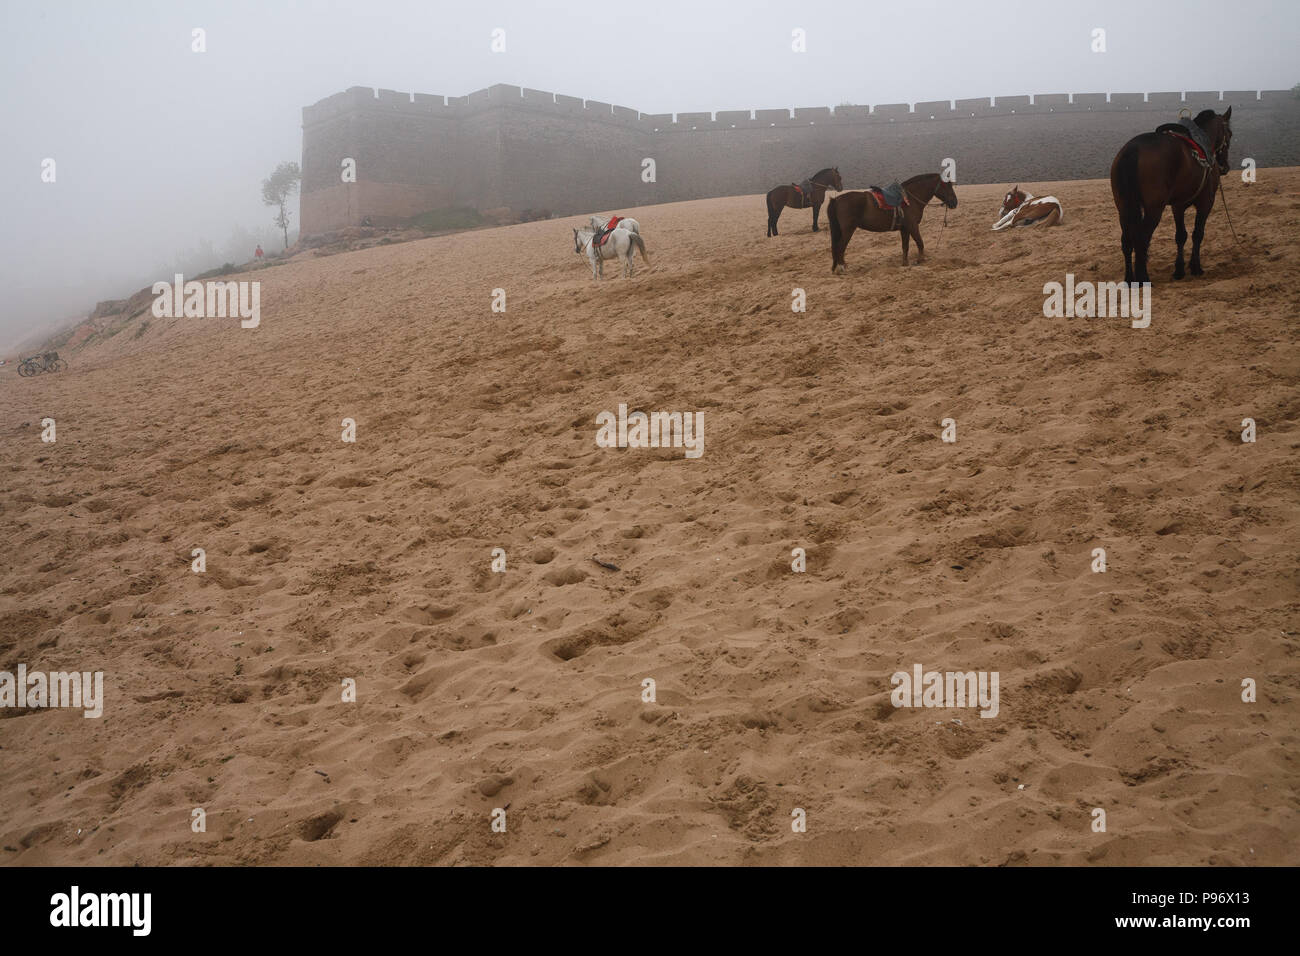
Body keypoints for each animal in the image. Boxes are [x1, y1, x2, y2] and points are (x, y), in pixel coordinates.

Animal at [826, 171, 961, 273]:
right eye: (947, 186)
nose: (954, 202)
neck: (910, 199)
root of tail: (837, 200)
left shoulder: (905, 229)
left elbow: (905, 246)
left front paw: (905, 263)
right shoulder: (913, 226)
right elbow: (920, 242)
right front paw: (920, 260)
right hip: (848, 230)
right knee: (840, 247)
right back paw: (842, 268)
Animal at [1112, 107, 1232, 283]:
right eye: (1230, 134)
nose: (1225, 166)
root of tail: (1133, 149)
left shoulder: (1178, 206)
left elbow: (1181, 236)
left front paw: (1179, 269)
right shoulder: (1206, 203)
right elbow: (1198, 234)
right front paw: (1195, 266)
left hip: (1124, 208)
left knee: (1127, 241)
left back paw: (1129, 278)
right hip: (1154, 209)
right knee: (1142, 239)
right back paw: (1143, 277)